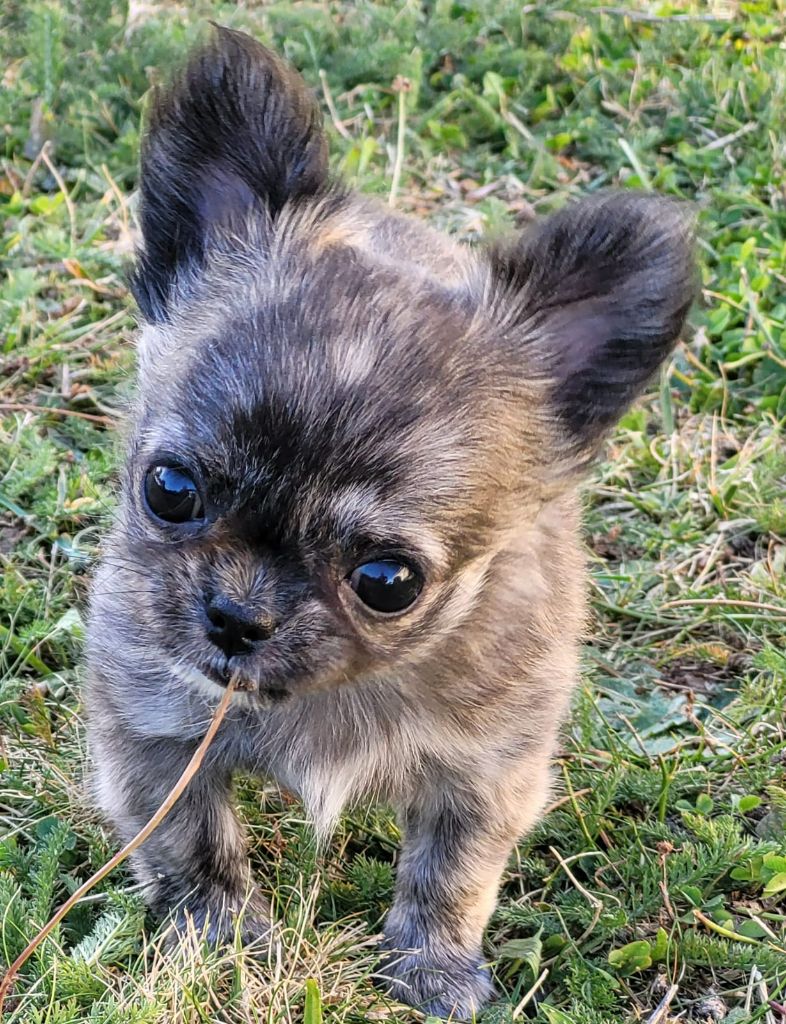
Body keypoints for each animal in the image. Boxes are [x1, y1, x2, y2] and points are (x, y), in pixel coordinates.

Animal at [85, 28, 695, 1019]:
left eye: (387, 582)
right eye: (169, 491)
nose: (236, 619)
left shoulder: (486, 774)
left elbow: (450, 873)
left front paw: (432, 965)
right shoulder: (154, 735)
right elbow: (194, 846)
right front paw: (221, 937)